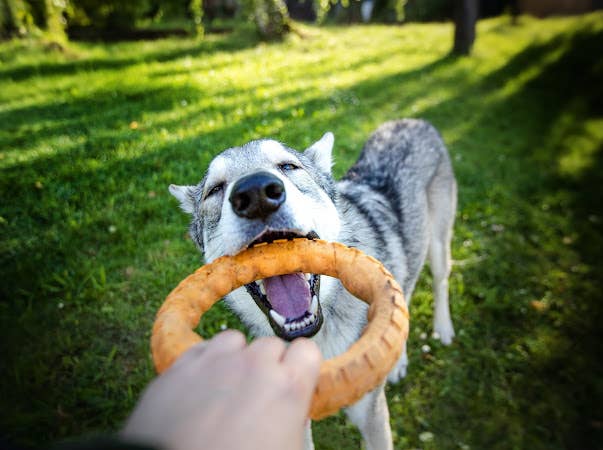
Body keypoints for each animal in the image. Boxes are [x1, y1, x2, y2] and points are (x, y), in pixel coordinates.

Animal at [168, 119, 456, 450]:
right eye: (215, 189)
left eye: (288, 166)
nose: (255, 193)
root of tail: (412, 121)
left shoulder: (372, 414)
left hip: (438, 247)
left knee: (440, 283)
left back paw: (443, 329)